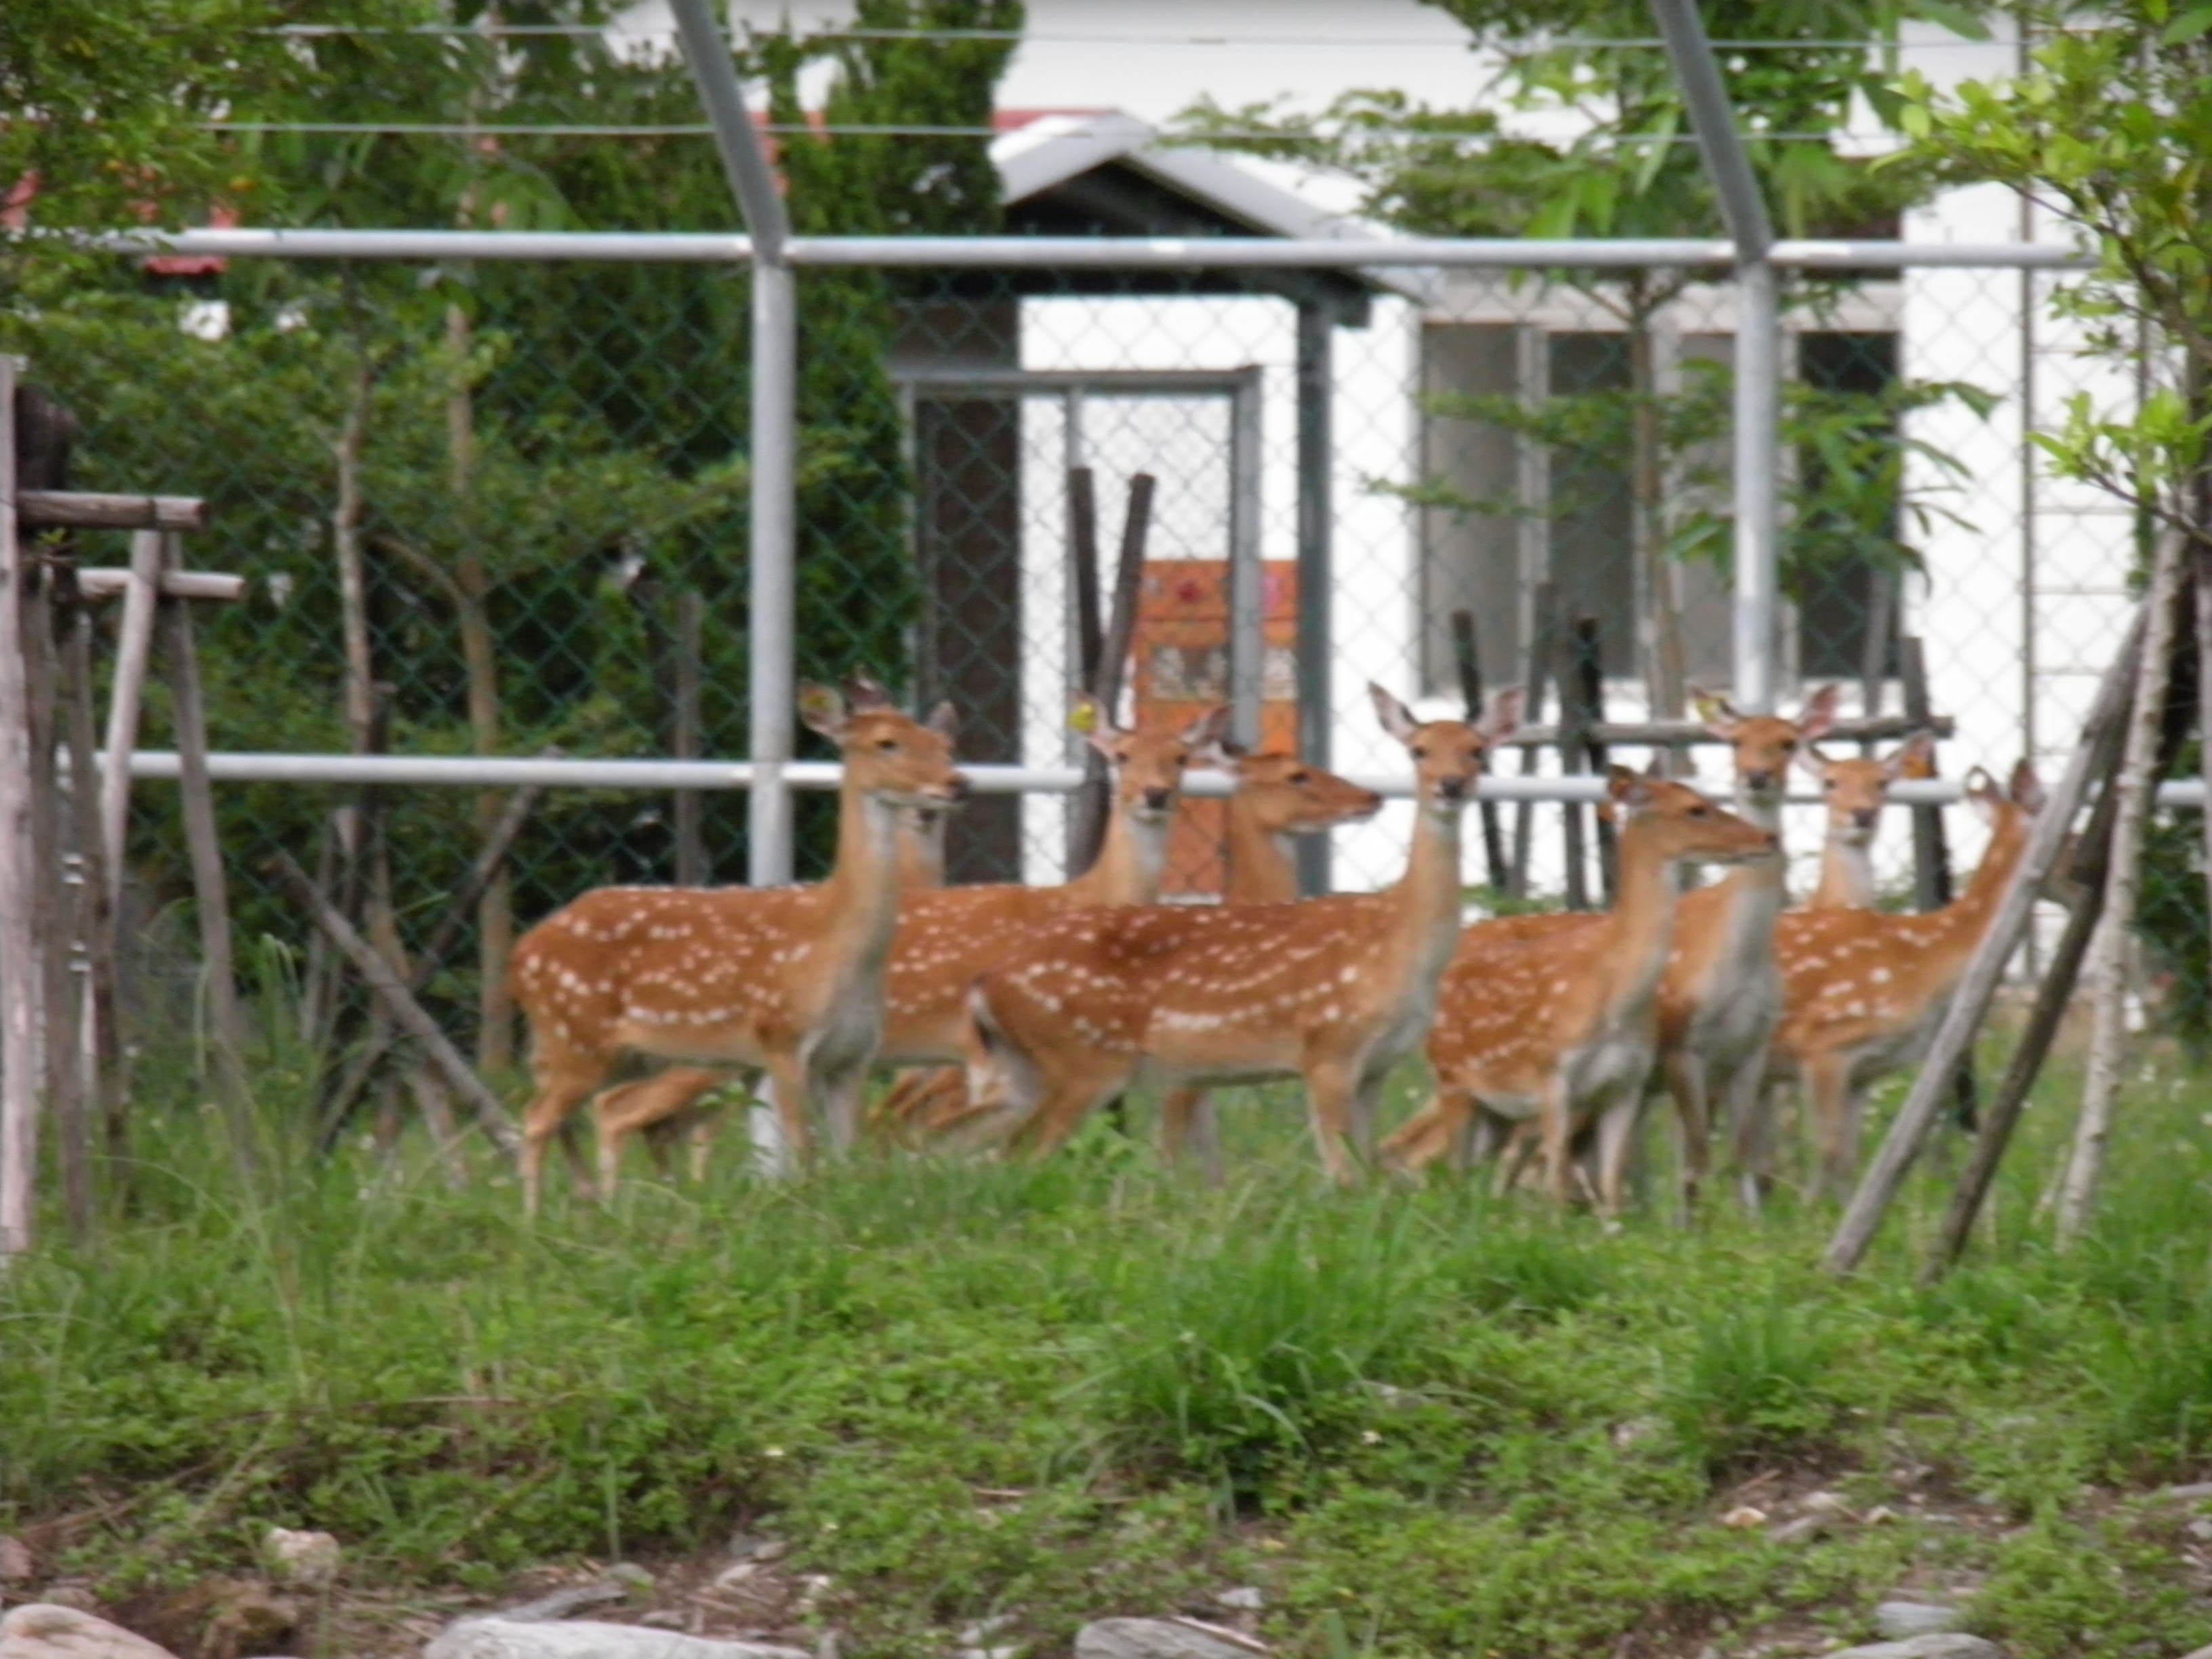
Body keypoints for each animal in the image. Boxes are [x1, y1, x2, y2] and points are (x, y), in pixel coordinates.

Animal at [507, 679, 967, 1213]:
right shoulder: (782, 1039)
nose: (957, 783)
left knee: (580, 1115)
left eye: (943, 745)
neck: (836, 944)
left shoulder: (853, 1057)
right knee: (538, 1118)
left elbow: (848, 1153)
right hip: (577, 1037)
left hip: (623, 1053)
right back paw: (536, 1219)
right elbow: (806, 1151)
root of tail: (522, 952)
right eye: (887, 743)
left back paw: (595, 1207)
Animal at [961, 684, 1521, 1184]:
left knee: (997, 1155)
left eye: (1477, 750)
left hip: (1028, 1068)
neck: (1402, 948)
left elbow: (1367, 1169)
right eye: (1418, 750)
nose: (1451, 784)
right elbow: (1343, 1175)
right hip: (1085, 1058)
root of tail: (988, 984)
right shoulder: (1328, 1048)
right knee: (1022, 1157)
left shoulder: (1378, 1066)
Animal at [1380, 685, 1840, 1208]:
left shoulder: (1745, 1054)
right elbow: (1696, 1159)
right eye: (1697, 807)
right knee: (1425, 1151)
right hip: (1470, 1087)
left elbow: (1739, 1161)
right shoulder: (1678, 1051)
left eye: (1789, 742)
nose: (1766, 832)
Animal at [1763, 760, 2042, 1199]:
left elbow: (1849, 1159)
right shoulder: (1823, 1041)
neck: (1926, 961)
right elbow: (1829, 1151)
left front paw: (1841, 1209)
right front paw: (1813, 1212)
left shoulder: (1865, 1068)